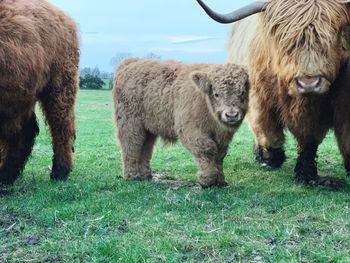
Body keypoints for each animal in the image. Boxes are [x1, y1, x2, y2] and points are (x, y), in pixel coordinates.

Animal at [0, 0, 79, 186]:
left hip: (59, 84)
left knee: (62, 127)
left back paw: (60, 172)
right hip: (21, 95)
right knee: (24, 132)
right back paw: (7, 174)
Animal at [113, 59, 249, 188]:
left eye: (242, 92)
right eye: (216, 94)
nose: (231, 115)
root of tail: (131, 61)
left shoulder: (221, 136)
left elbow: (220, 154)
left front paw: (220, 180)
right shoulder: (190, 129)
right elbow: (207, 149)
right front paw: (208, 180)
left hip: (149, 128)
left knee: (145, 147)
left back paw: (145, 175)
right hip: (130, 123)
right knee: (131, 144)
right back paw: (132, 175)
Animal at [197, 0, 350, 190]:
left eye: (333, 36)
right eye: (287, 41)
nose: (309, 83)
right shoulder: (260, 100)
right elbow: (268, 130)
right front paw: (270, 159)